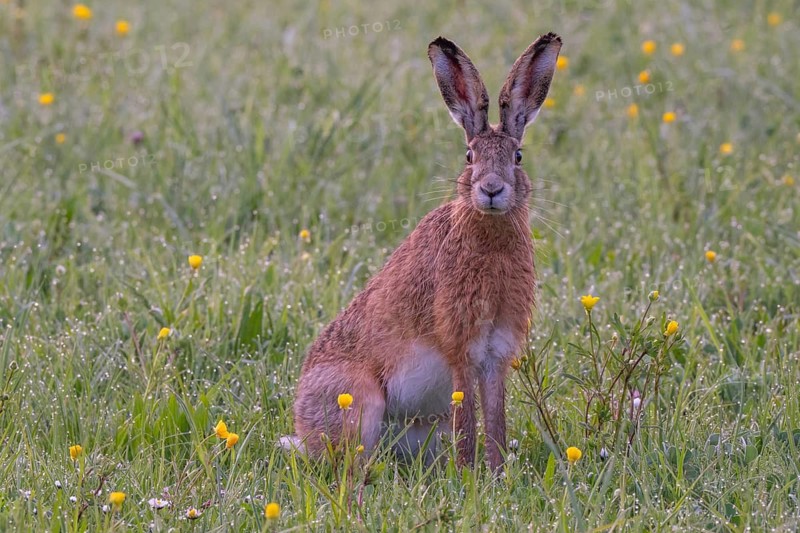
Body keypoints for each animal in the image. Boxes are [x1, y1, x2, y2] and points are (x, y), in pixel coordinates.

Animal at [281, 32, 562, 471]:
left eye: (517, 157)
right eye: (469, 157)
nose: (492, 189)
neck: (487, 232)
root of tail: (303, 432)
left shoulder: (496, 352)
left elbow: (495, 420)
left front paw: (497, 474)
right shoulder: (461, 346)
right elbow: (468, 420)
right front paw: (469, 474)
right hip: (357, 400)